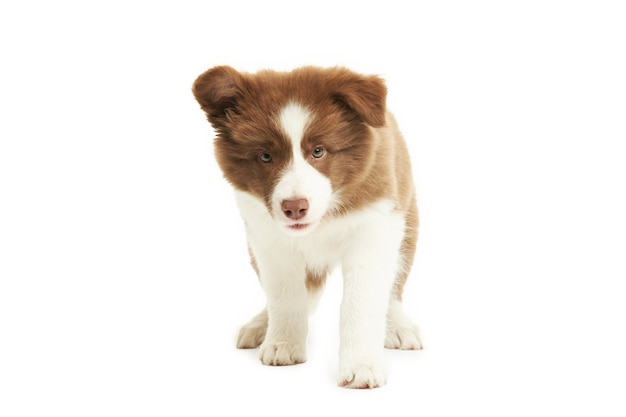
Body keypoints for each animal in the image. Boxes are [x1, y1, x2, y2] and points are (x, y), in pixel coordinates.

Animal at [193, 65, 422, 386]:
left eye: (318, 151)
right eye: (265, 156)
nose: (294, 207)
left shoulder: (374, 229)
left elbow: (361, 302)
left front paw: (362, 365)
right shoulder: (267, 238)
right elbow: (284, 295)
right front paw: (283, 343)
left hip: (406, 220)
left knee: (393, 287)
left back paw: (398, 326)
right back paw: (261, 325)